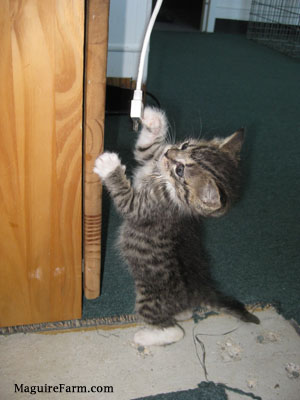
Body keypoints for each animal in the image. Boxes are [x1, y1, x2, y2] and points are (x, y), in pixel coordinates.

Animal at [94, 107, 260, 346]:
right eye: (184, 146)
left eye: (180, 170)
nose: (168, 152)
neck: (164, 182)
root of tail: (201, 290)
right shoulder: (150, 161)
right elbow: (145, 151)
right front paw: (154, 122)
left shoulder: (143, 208)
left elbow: (126, 202)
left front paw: (109, 166)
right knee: (183, 315)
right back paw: (182, 314)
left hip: (150, 298)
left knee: (174, 331)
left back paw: (145, 336)